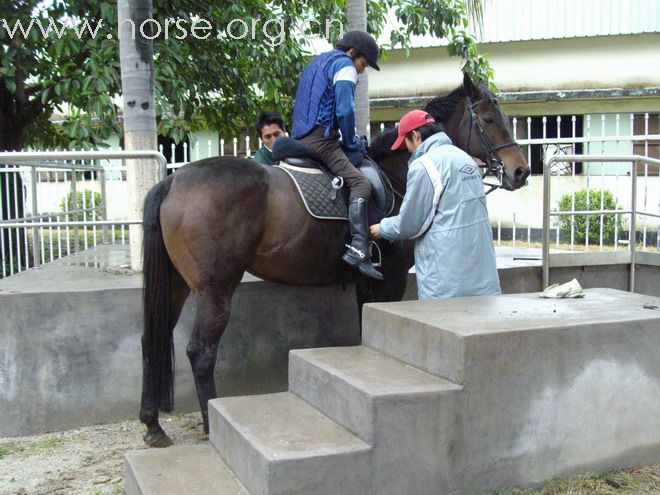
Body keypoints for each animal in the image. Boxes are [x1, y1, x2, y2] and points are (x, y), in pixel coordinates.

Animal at [139, 73, 532, 450]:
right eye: (488, 118)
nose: (521, 171)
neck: (395, 173)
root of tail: (173, 181)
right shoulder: (391, 279)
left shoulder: (367, 282)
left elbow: (363, 327)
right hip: (215, 289)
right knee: (200, 352)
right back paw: (209, 422)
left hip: (176, 284)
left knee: (150, 339)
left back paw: (152, 424)